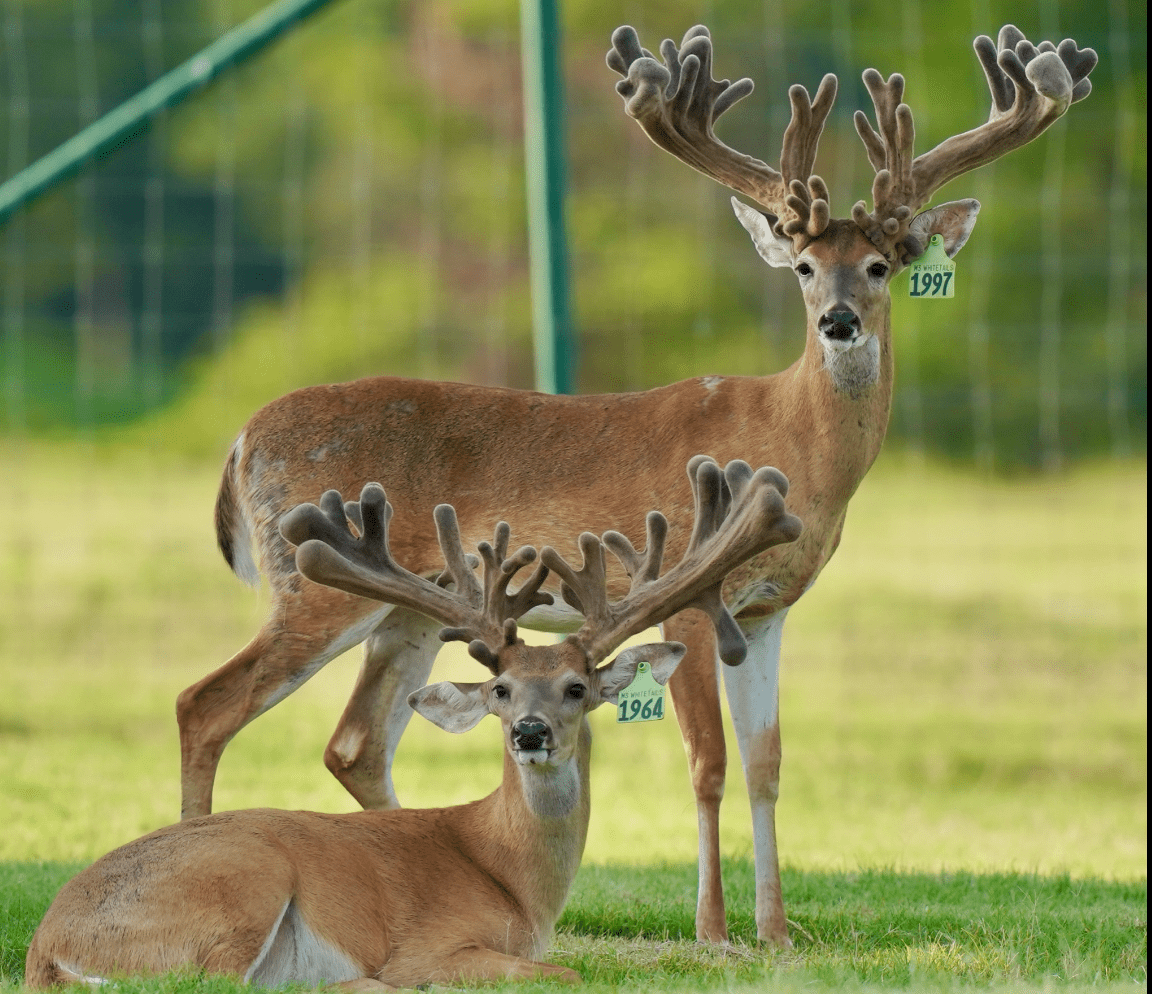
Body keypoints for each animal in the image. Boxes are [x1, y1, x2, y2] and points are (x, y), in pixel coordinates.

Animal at [27, 458, 800, 990]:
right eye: (501, 690)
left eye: (577, 688)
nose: (530, 732)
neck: (514, 878)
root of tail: (47, 946)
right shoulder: (441, 942)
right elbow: (565, 972)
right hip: (244, 877)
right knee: (226, 982)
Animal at [175, 22, 1097, 948]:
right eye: (803, 266)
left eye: (880, 265)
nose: (839, 322)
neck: (791, 445)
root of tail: (241, 442)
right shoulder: (687, 592)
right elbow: (708, 762)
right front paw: (714, 931)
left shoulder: (768, 610)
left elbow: (766, 763)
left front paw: (776, 932)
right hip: (313, 587)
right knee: (204, 703)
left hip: (411, 609)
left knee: (356, 743)